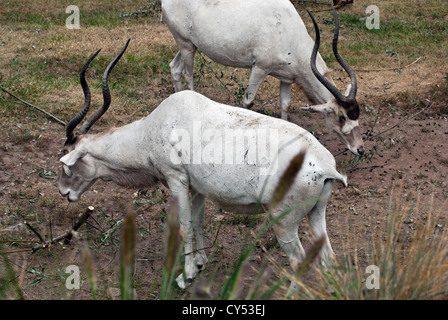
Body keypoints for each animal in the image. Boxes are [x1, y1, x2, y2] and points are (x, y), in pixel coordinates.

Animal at [58, 39, 346, 290]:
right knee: (329, 258)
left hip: (284, 221)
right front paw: (199, 264)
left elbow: (184, 225)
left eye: (66, 159)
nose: (64, 192)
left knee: (298, 261)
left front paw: (184, 276)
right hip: (316, 213)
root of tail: (325, 166)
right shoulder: (197, 187)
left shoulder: (176, 179)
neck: (156, 125)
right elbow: (198, 222)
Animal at [163, 0, 366, 156]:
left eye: (357, 114)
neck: (287, 30)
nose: (360, 149)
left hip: (190, 46)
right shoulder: (260, 68)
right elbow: (248, 102)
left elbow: (285, 106)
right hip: (186, 44)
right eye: (341, 116)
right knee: (188, 74)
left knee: (174, 68)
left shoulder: (287, 78)